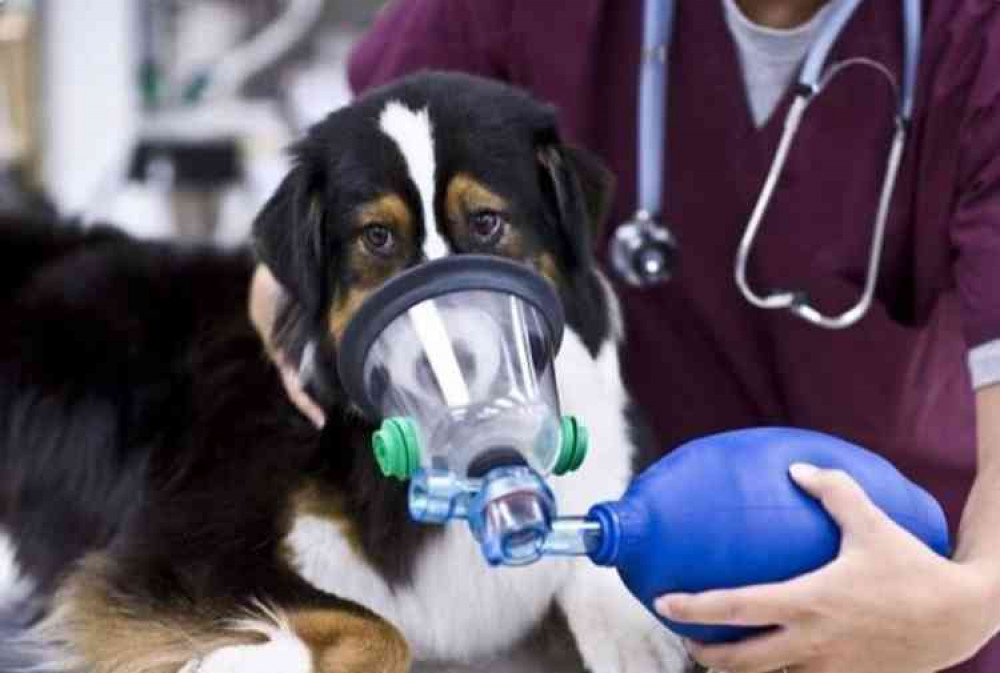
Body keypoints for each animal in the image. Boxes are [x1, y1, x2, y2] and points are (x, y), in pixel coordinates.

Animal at [0, 72, 688, 672]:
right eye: (376, 237)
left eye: (487, 222)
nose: (446, 368)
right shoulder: (180, 545)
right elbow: (374, 627)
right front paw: (246, 657)